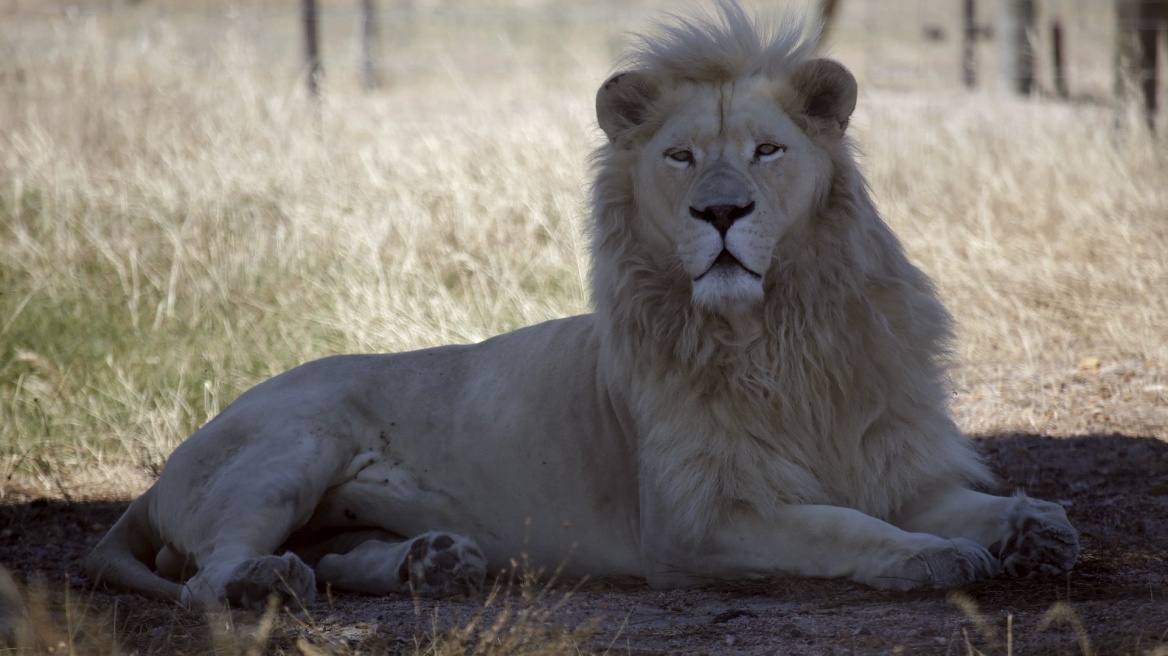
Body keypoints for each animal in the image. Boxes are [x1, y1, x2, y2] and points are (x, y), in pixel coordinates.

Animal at [86, 1, 1079, 606]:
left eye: (767, 151)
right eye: (681, 157)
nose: (722, 212)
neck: (779, 332)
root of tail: (160, 473)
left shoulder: (897, 466)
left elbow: (967, 503)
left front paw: (1034, 530)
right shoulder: (701, 522)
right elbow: (843, 528)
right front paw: (927, 558)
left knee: (335, 557)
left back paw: (434, 561)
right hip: (291, 442)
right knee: (210, 576)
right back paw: (267, 582)